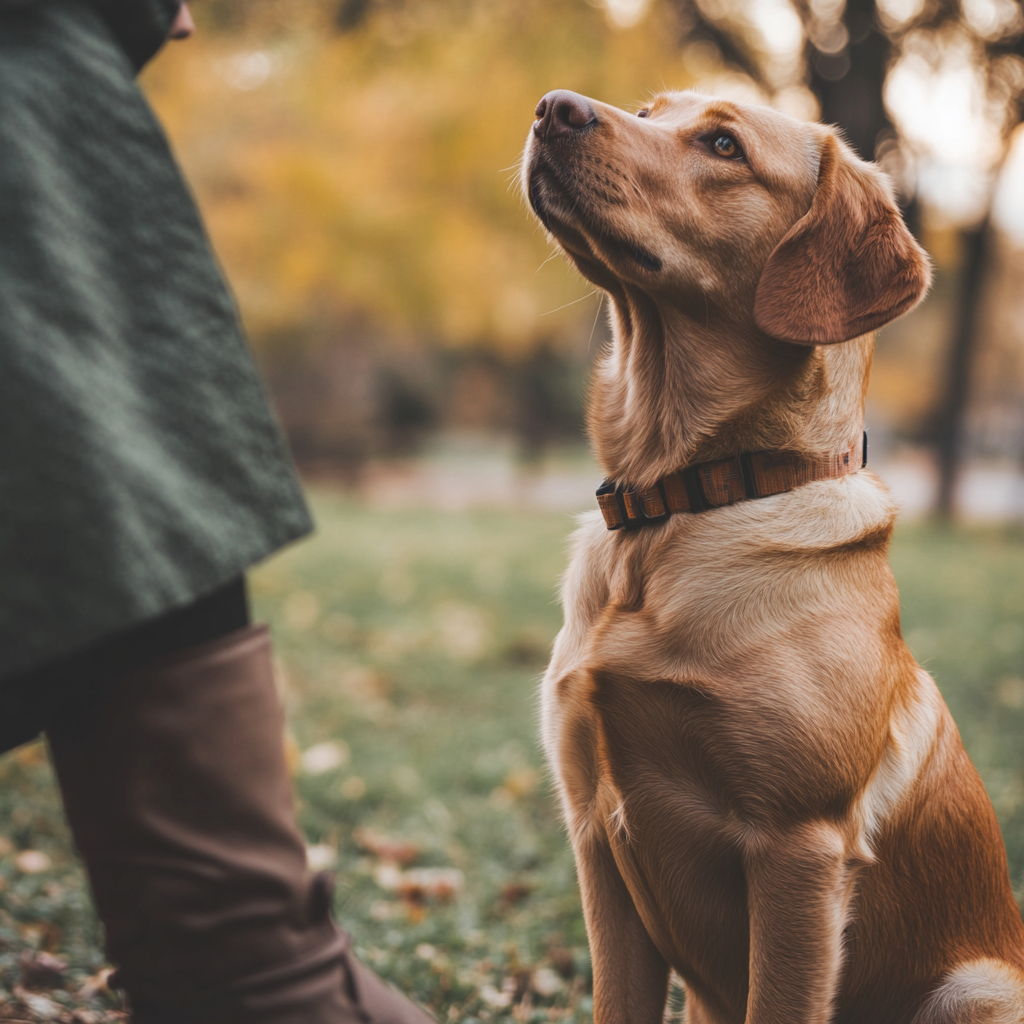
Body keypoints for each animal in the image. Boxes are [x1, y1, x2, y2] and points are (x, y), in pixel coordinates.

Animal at [524, 90, 1024, 1024]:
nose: (552, 107)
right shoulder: (593, 838)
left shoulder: (798, 851)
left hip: (973, 989)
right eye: (649, 108)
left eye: (724, 145)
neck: (677, 505)